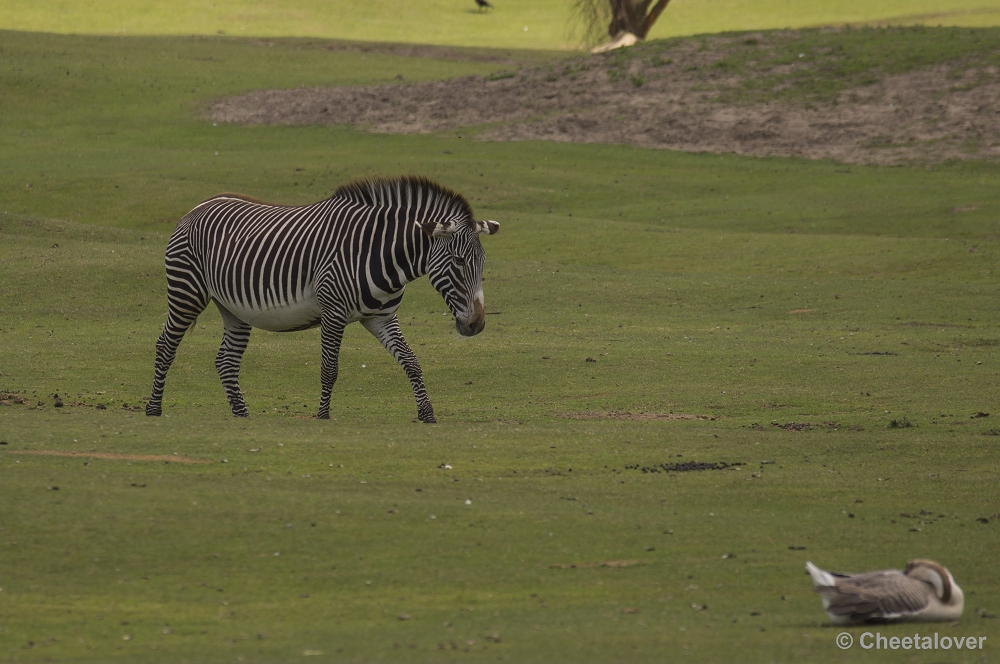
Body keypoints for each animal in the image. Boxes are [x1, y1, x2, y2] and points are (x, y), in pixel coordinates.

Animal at [144, 176, 496, 422]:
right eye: (459, 262)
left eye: (482, 262)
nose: (476, 324)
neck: (379, 252)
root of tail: (199, 206)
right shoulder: (333, 310)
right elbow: (330, 367)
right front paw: (323, 415)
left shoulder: (381, 317)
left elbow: (411, 361)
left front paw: (427, 414)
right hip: (187, 292)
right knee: (165, 346)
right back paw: (153, 408)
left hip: (235, 309)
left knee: (226, 360)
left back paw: (242, 414)